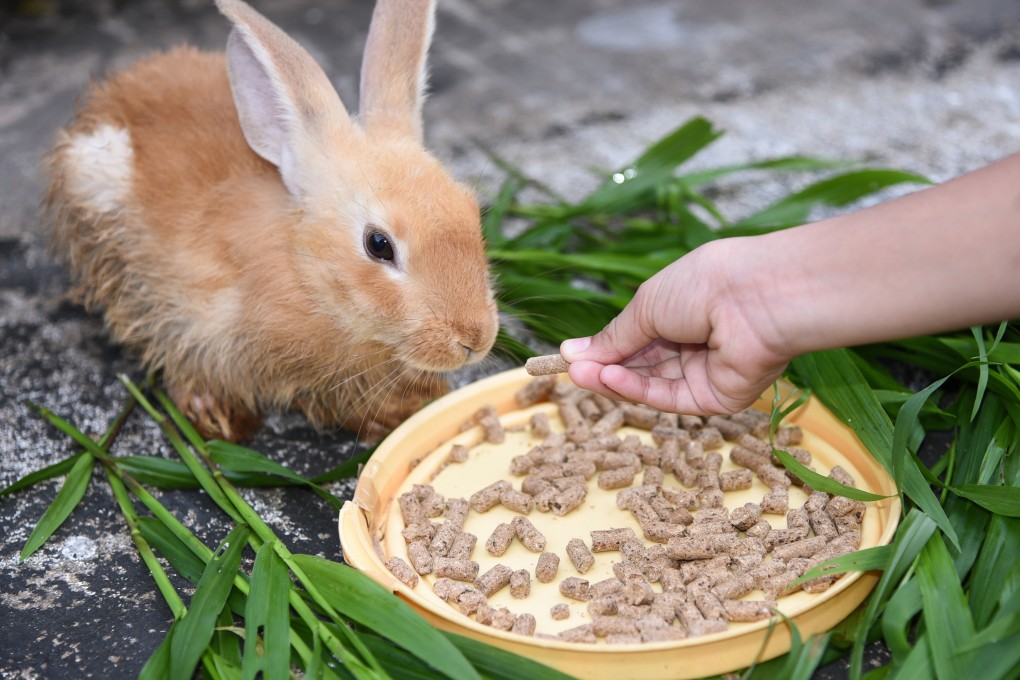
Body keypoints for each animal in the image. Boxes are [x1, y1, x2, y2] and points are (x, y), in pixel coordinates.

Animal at [44, 0, 499, 442]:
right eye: (379, 245)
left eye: (472, 211)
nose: (474, 340)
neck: (303, 269)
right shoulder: (187, 318)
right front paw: (218, 419)